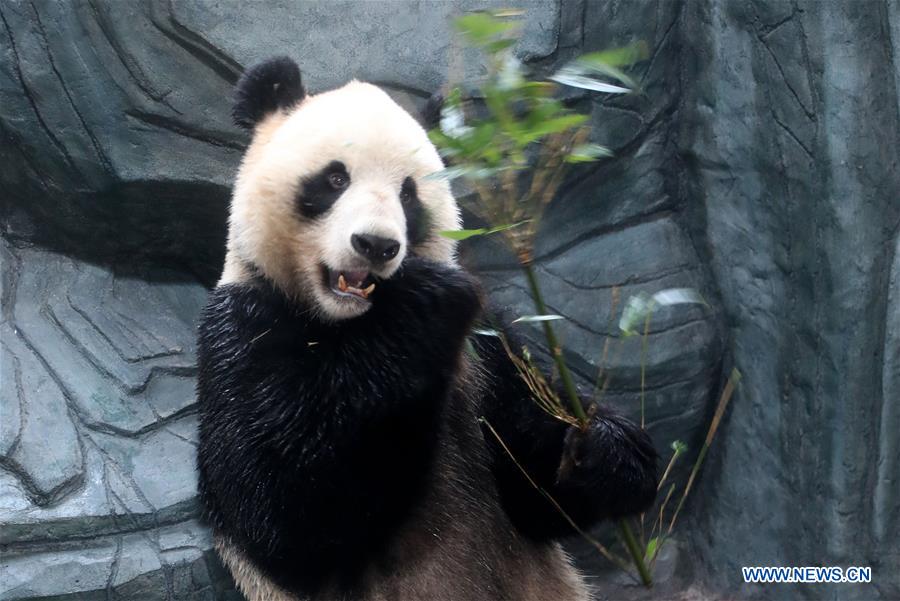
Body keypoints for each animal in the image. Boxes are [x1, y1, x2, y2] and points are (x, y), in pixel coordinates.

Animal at [196, 56, 658, 601]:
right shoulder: (244, 329)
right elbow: (289, 515)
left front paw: (606, 449)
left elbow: (538, 496)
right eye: (334, 179)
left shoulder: (482, 354)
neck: (346, 324)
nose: (376, 245)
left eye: (408, 193)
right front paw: (423, 304)